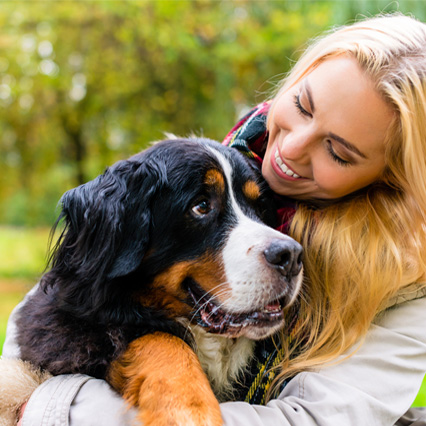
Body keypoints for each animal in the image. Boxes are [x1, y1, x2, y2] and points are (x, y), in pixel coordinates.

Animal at [4, 138, 302, 424]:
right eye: (201, 206)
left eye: (260, 208)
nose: (291, 255)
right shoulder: (67, 333)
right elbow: (161, 338)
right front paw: (190, 410)